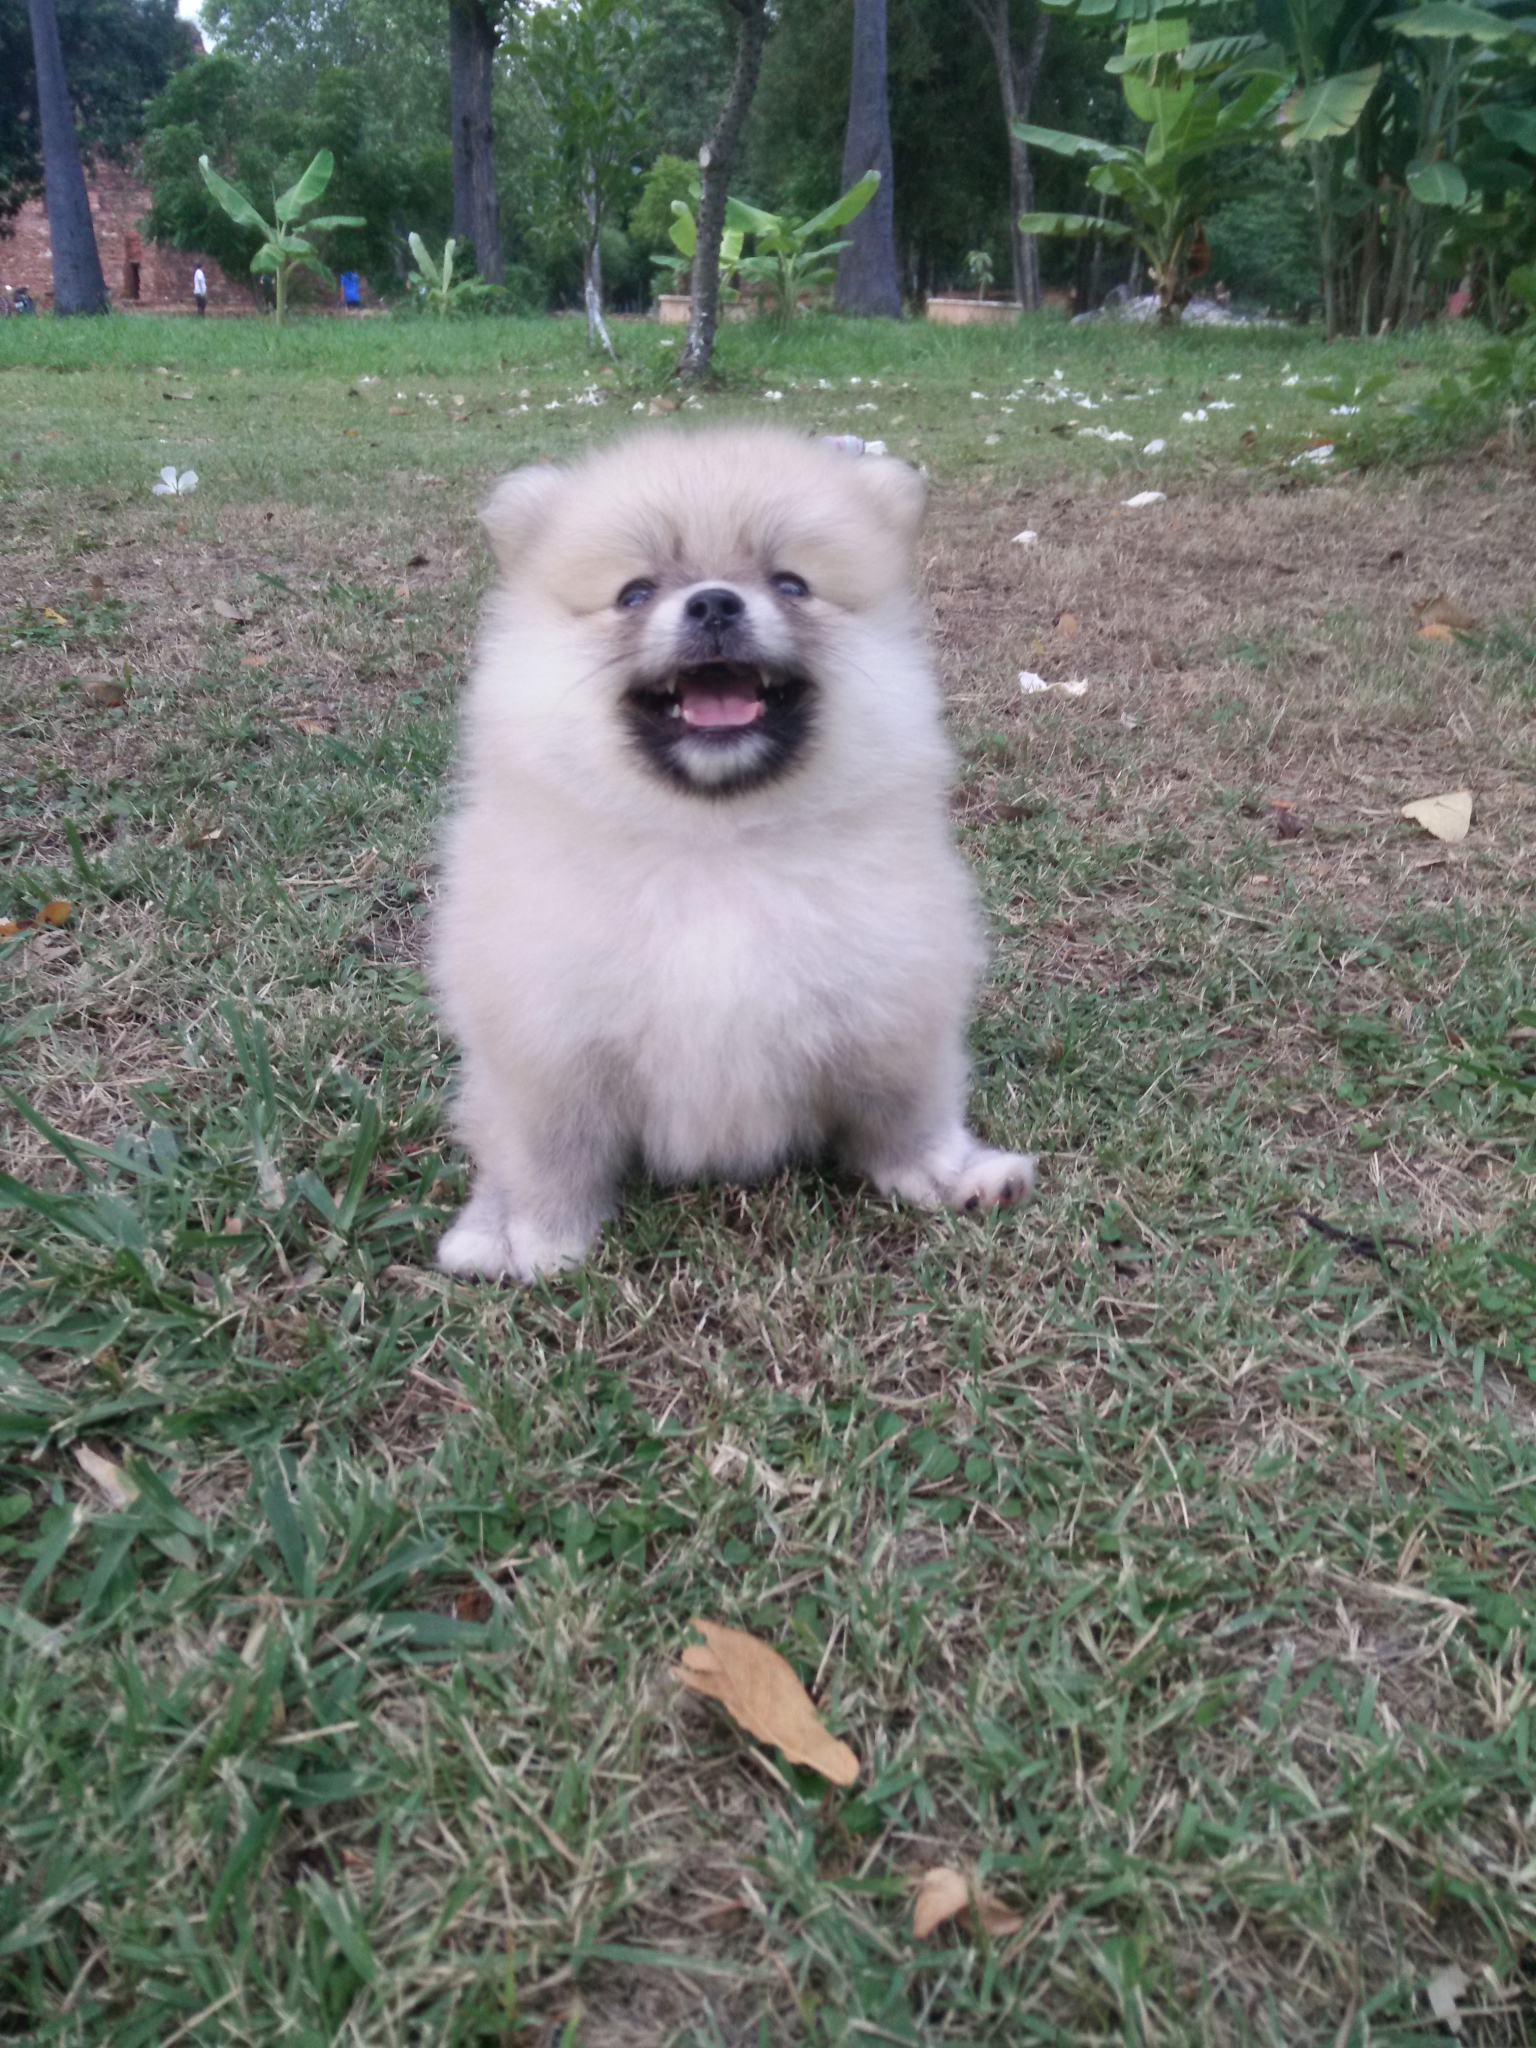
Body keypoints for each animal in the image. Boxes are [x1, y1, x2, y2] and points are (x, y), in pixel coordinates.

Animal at [431, 426, 1034, 1279]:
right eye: (634, 593)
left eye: (790, 583)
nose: (715, 601)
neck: (714, 842)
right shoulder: (548, 1044)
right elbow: (551, 1153)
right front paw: (535, 1235)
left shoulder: (888, 1010)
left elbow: (903, 1120)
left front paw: (951, 1175)